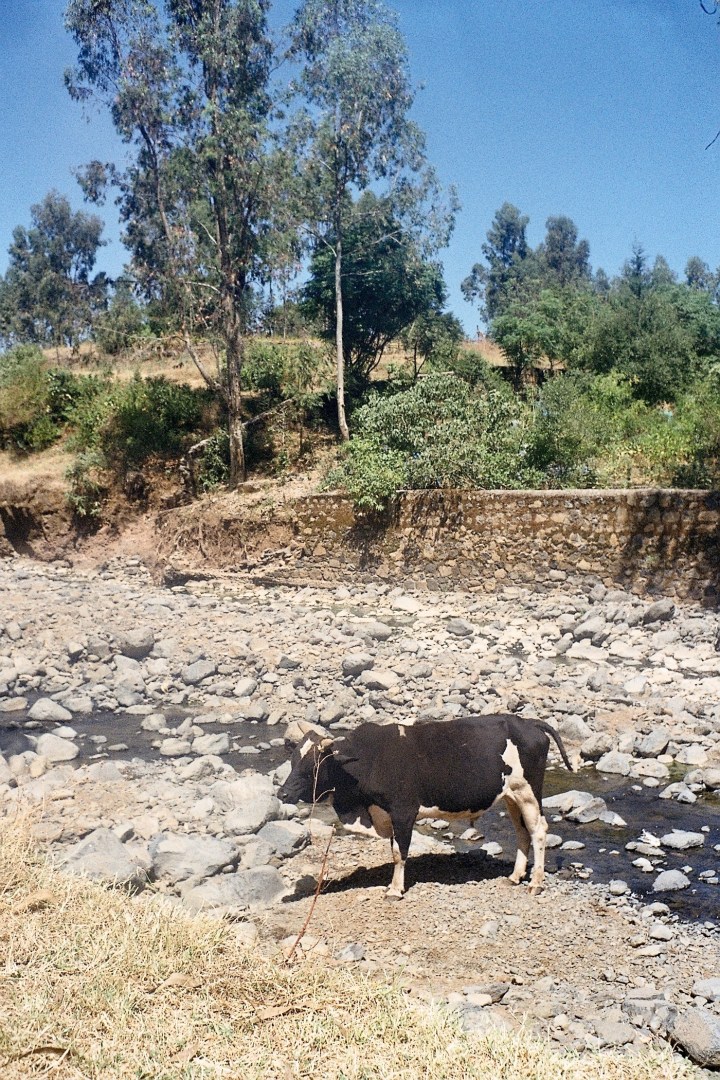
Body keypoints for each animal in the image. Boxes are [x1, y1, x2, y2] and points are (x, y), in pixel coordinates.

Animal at [277, 715, 574, 900]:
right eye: (292, 761)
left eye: (312, 767)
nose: (282, 793)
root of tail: (526, 721)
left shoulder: (403, 811)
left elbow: (399, 853)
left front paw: (395, 890)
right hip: (511, 795)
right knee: (522, 831)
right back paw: (514, 876)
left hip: (528, 791)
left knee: (538, 830)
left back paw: (535, 883)